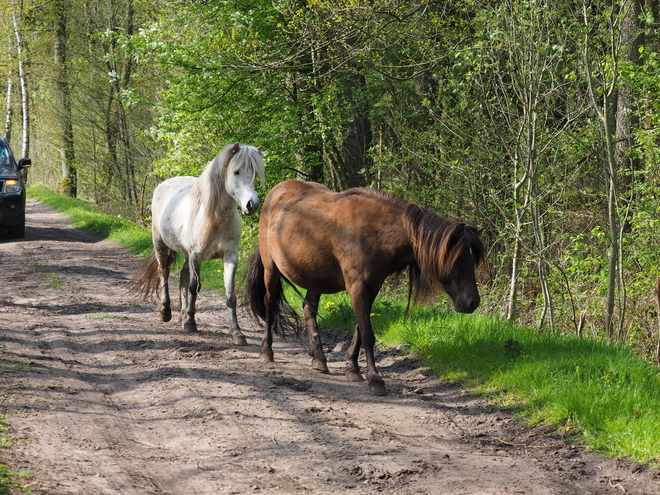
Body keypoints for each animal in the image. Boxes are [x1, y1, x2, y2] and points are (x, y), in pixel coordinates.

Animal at [131, 143, 266, 344]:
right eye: (236, 171)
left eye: (255, 173)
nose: (252, 204)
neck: (215, 218)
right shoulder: (196, 256)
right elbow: (194, 288)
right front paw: (190, 324)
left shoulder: (230, 257)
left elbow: (229, 294)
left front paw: (237, 333)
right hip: (161, 245)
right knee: (164, 273)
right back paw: (166, 312)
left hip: (186, 254)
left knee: (182, 276)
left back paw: (181, 316)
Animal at [245, 180, 482, 398]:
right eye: (460, 258)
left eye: (473, 259)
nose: (473, 302)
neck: (375, 232)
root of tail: (276, 191)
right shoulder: (357, 287)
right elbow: (367, 334)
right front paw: (375, 379)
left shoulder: (371, 288)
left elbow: (360, 328)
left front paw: (352, 368)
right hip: (271, 268)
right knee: (269, 304)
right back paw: (267, 351)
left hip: (315, 277)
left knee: (308, 309)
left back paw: (318, 358)